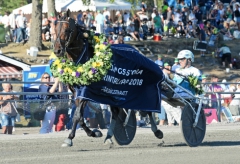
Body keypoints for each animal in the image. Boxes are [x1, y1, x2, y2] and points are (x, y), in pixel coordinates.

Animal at [54, 9, 163, 147]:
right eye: (55, 29)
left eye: (67, 30)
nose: (57, 51)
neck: (83, 58)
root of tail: (138, 50)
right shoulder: (76, 92)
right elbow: (81, 117)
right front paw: (94, 133)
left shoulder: (86, 92)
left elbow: (77, 115)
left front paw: (69, 138)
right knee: (116, 112)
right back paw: (110, 135)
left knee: (146, 107)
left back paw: (157, 131)